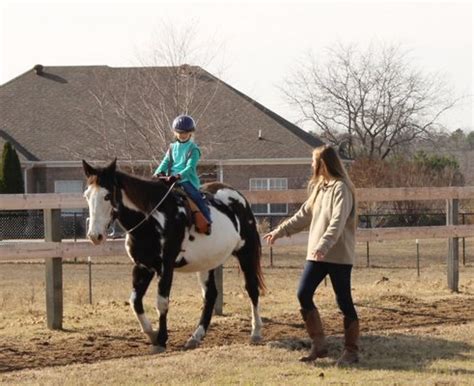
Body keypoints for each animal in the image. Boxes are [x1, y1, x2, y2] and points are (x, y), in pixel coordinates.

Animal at [83, 159, 264, 352]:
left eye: (107, 196)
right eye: (87, 195)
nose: (94, 235)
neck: (152, 219)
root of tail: (239, 197)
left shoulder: (166, 267)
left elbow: (161, 303)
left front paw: (161, 340)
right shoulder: (143, 266)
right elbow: (135, 301)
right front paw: (152, 335)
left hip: (246, 253)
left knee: (252, 288)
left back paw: (255, 332)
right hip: (207, 263)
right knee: (210, 295)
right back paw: (195, 337)